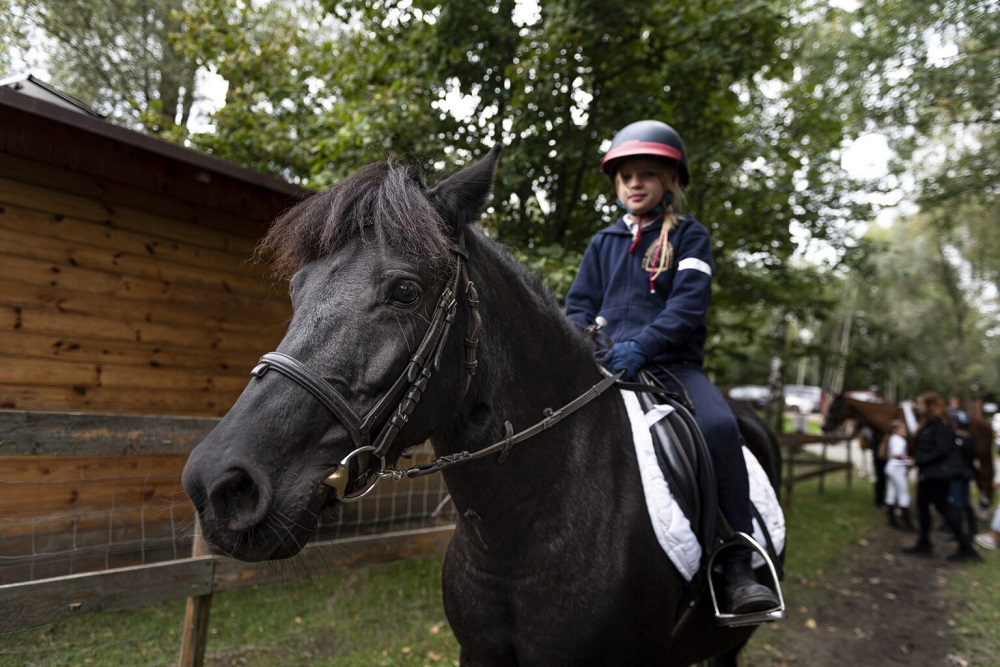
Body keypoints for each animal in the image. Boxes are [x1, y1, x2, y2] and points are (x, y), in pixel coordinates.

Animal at [822, 393, 995, 512]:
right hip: (970, 459)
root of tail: (986, 425)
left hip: (982, 457)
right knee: (979, 478)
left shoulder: (907, 456)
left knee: (985, 478)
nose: (824, 426)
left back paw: (985, 508)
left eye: (834, 407)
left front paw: (899, 507)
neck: (892, 419)